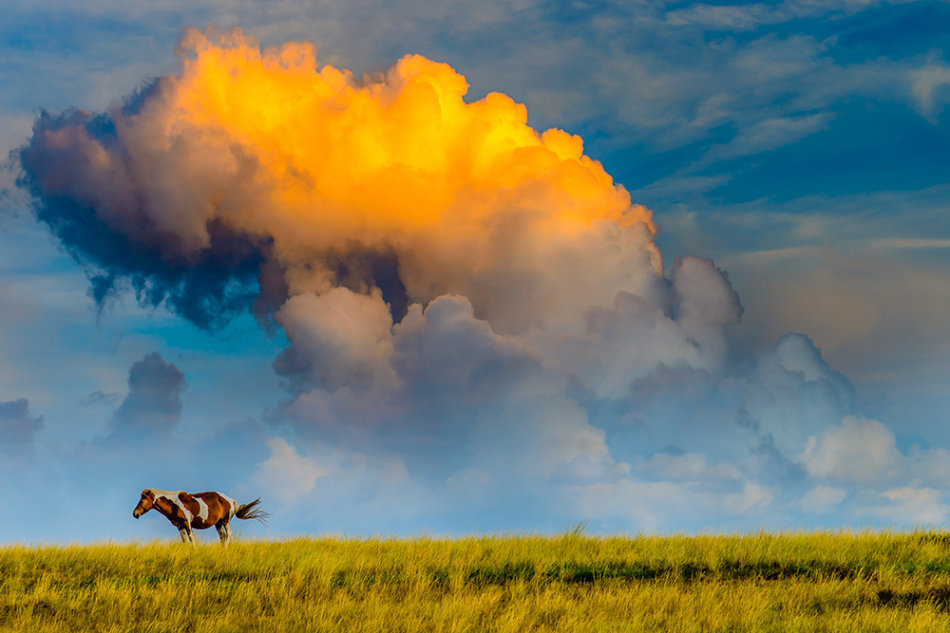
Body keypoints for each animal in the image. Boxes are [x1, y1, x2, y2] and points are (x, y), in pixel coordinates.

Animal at [132, 488, 270, 544]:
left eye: (142, 500)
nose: (135, 514)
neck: (174, 504)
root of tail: (231, 500)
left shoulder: (187, 523)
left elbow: (191, 538)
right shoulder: (179, 526)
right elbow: (184, 540)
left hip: (225, 521)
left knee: (229, 534)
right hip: (218, 523)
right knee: (222, 536)